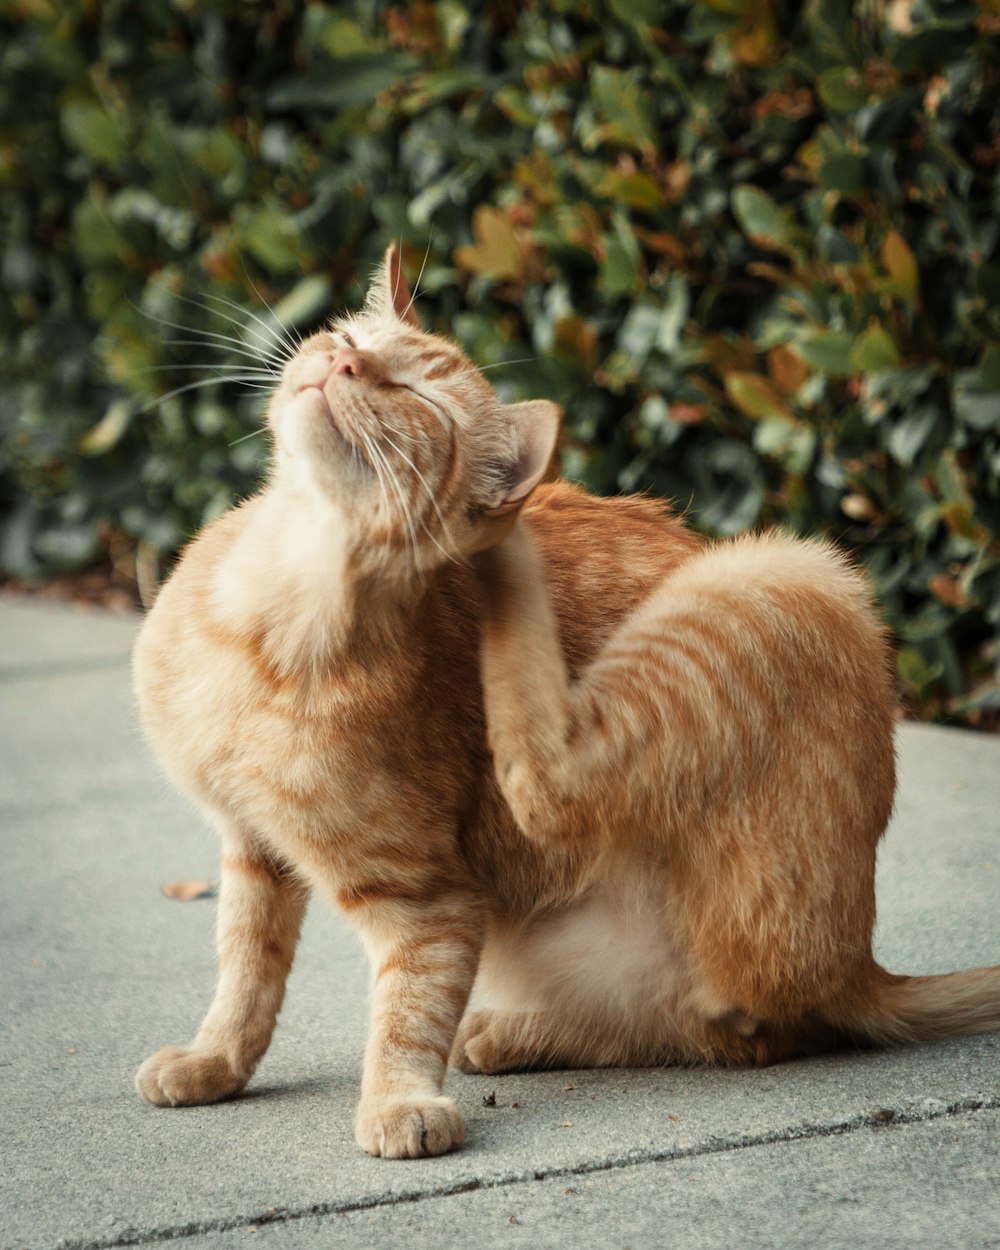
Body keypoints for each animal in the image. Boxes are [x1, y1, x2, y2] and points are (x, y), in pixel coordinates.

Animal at [132, 246, 1000, 1160]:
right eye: (347, 339)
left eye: (417, 397)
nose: (342, 366)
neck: (262, 614)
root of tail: (860, 967)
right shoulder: (251, 850)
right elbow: (246, 971)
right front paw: (213, 1060)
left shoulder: (430, 898)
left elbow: (408, 1007)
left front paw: (400, 1101)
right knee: (704, 1028)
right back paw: (510, 1034)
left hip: (783, 571)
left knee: (582, 832)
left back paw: (506, 546)